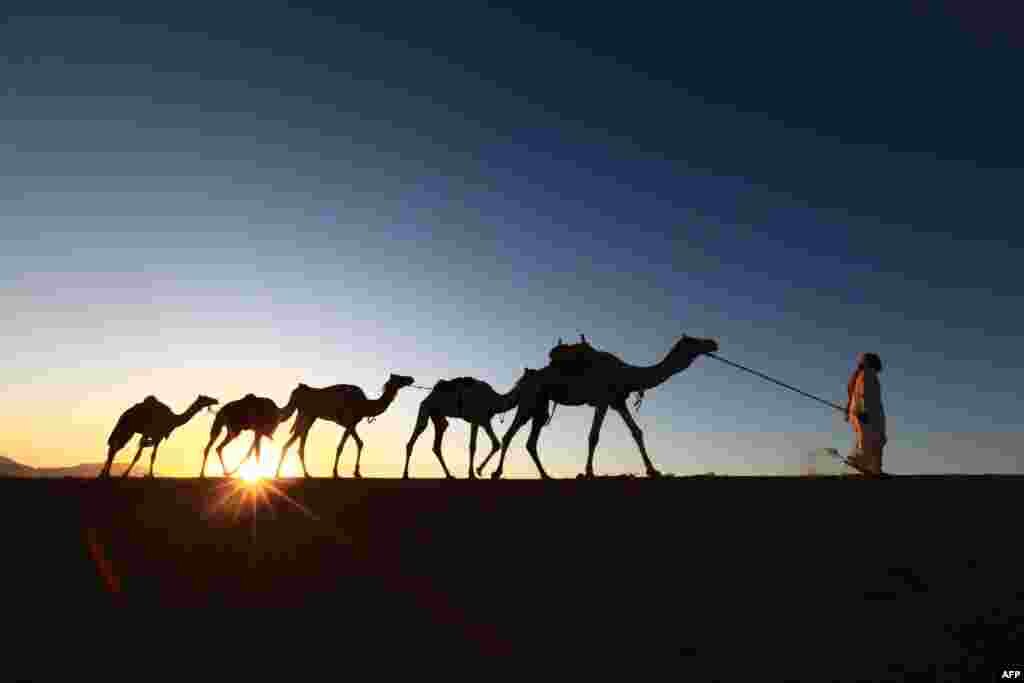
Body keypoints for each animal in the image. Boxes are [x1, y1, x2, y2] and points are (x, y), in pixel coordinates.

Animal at [276, 374, 415, 481]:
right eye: (399, 377)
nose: (411, 378)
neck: (365, 405)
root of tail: (297, 391)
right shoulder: (349, 423)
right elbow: (341, 446)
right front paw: (335, 473)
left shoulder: (352, 424)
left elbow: (360, 443)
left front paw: (357, 473)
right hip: (308, 415)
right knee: (297, 442)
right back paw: (291, 474)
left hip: (307, 416)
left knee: (294, 442)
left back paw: (296, 474)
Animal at [403, 368, 540, 481]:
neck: (494, 400)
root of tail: (430, 395)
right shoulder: (477, 420)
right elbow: (475, 446)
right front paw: (473, 473)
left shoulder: (482, 421)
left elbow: (492, 444)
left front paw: (477, 471)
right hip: (426, 408)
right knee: (417, 434)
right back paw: (405, 474)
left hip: (438, 415)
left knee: (438, 440)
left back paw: (449, 475)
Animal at [479, 331, 720, 481]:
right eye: (693, 341)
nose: (713, 342)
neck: (626, 374)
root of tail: (523, 379)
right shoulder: (603, 400)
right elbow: (593, 436)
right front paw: (588, 472)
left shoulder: (617, 402)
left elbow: (636, 432)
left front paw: (653, 471)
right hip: (530, 401)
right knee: (510, 434)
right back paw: (495, 473)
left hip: (540, 406)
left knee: (530, 441)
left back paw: (545, 475)